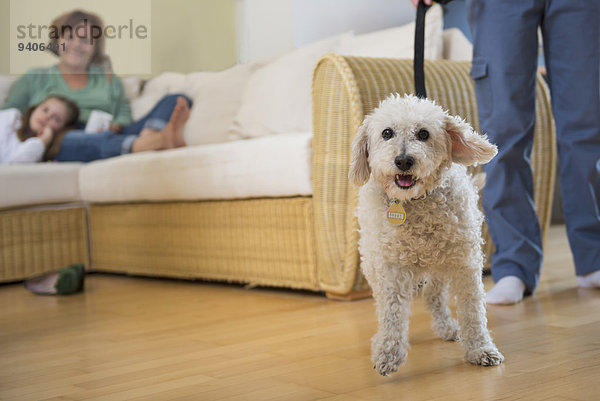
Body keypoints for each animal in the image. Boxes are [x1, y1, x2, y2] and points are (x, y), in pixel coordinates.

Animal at [350, 94, 504, 376]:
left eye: (423, 134)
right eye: (387, 133)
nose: (403, 161)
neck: (415, 202)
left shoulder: (464, 262)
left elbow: (473, 311)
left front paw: (480, 348)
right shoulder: (391, 269)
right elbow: (392, 313)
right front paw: (388, 351)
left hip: (439, 266)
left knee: (434, 296)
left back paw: (447, 327)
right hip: (373, 264)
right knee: (390, 302)